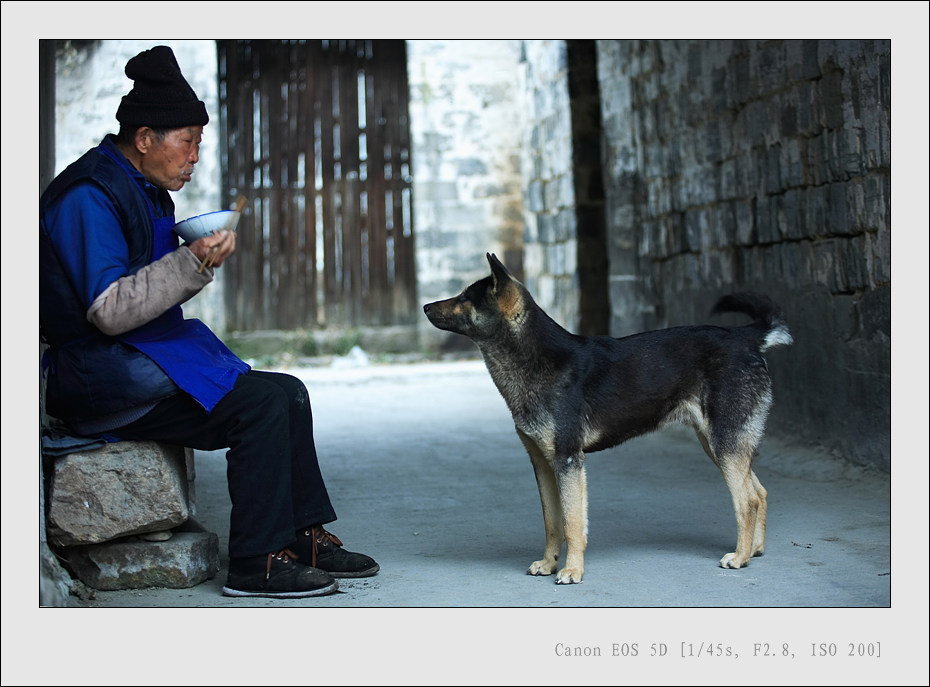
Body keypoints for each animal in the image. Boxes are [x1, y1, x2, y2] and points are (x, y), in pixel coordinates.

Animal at [420, 253, 792, 584]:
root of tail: (745, 338)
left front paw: (572, 571)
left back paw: (739, 557)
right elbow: (552, 522)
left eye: (466, 297)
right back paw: (754, 551)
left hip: (725, 443)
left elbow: (572, 523)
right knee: (759, 492)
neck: (533, 358)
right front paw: (548, 563)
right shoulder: (543, 464)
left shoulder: (568, 461)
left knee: (746, 500)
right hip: (718, 444)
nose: (425, 307)